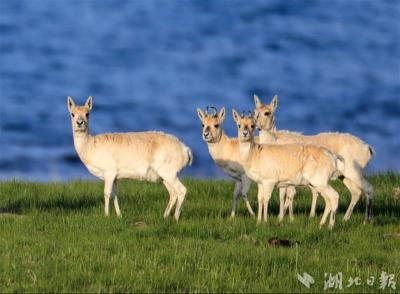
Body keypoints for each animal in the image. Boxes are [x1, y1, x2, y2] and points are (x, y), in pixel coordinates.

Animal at [255, 94, 374, 223]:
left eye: (267, 112)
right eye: (254, 111)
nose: (255, 124)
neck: (275, 141)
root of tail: (368, 149)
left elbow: (288, 195)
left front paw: (283, 219)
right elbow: (282, 195)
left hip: (354, 171)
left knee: (369, 189)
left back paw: (365, 221)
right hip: (344, 175)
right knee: (356, 192)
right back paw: (345, 219)